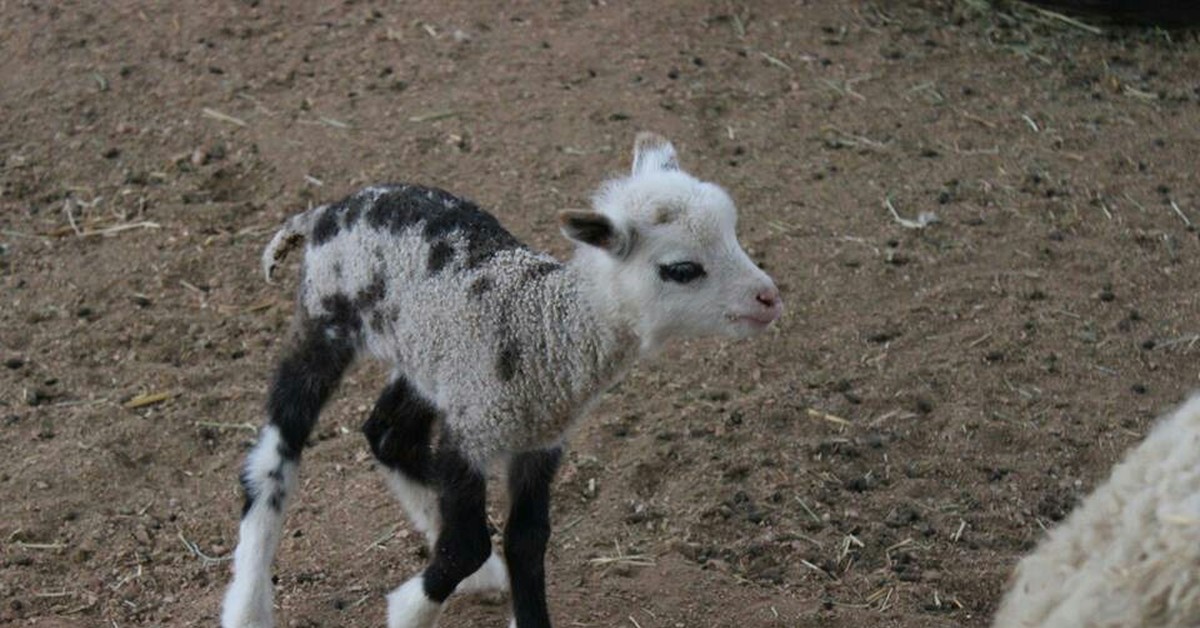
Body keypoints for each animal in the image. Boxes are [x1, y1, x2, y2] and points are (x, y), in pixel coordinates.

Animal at [220, 133, 782, 628]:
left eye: (733, 233)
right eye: (681, 269)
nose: (769, 298)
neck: (547, 327)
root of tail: (326, 212)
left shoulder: (537, 441)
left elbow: (527, 540)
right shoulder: (471, 430)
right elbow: (470, 543)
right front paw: (409, 610)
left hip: (426, 358)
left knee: (387, 434)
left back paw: (474, 569)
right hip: (324, 323)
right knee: (274, 458)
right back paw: (247, 607)